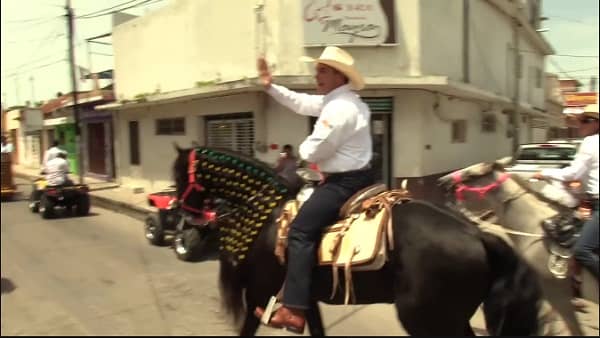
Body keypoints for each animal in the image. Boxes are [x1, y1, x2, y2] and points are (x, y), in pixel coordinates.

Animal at [172, 146, 544, 336]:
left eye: (178, 173)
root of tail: (476, 232)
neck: (268, 214)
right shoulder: (302, 297)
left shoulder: (260, 292)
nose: (182, 214)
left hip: (427, 317)